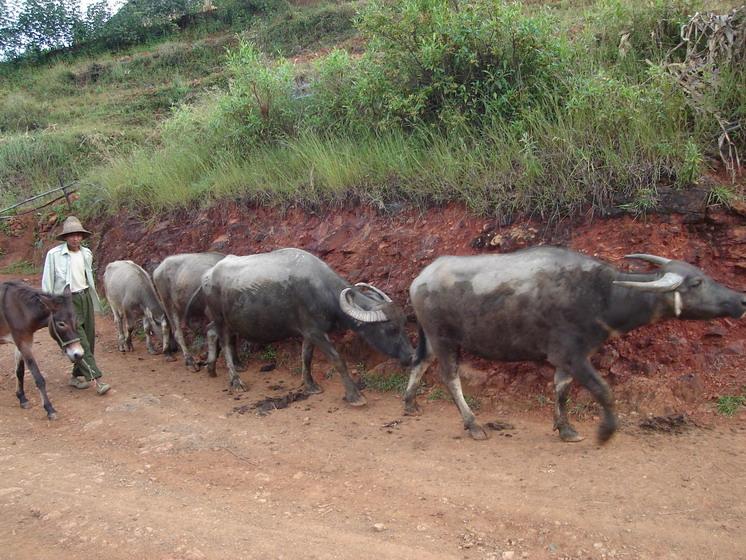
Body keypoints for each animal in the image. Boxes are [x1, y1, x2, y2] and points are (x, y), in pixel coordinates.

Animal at [0, 282, 83, 418]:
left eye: (76, 320)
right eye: (61, 324)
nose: (79, 354)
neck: (22, 310)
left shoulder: (22, 342)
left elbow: (20, 371)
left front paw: (22, 398)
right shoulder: (23, 343)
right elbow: (38, 377)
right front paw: (49, 409)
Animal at [198, 247, 416, 400]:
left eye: (404, 323)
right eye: (390, 329)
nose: (411, 356)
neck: (322, 292)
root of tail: (207, 275)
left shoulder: (309, 332)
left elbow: (306, 357)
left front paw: (310, 385)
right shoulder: (316, 332)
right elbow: (338, 360)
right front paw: (355, 395)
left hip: (226, 320)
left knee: (211, 331)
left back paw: (212, 367)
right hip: (221, 318)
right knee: (225, 343)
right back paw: (236, 381)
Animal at [404, 247, 744, 444]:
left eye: (703, 275)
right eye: (696, 283)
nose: (740, 299)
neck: (603, 296)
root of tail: (420, 278)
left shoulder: (565, 361)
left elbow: (561, 391)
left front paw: (565, 428)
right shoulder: (573, 355)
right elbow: (603, 390)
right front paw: (606, 431)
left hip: (433, 339)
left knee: (420, 363)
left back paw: (409, 403)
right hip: (445, 339)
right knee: (450, 378)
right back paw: (473, 425)